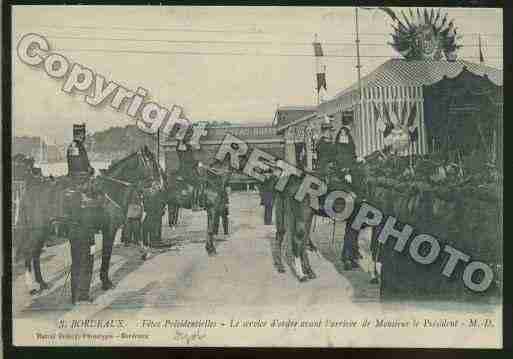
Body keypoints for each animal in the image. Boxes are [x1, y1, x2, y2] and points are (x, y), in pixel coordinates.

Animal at [14, 148, 162, 296]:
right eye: (151, 162)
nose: (159, 187)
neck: (110, 189)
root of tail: (31, 188)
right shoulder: (109, 230)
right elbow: (107, 255)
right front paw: (106, 282)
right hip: (36, 230)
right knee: (28, 253)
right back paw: (31, 286)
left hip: (43, 231)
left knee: (36, 254)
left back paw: (42, 283)